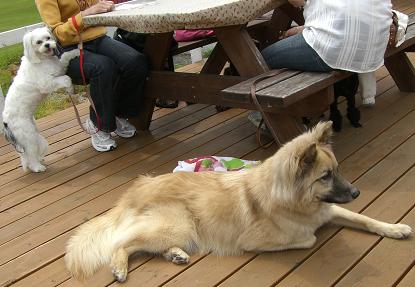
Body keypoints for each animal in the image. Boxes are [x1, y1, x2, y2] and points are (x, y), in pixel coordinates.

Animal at [1, 27, 79, 172]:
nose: (48, 45)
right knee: (30, 154)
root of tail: (6, 123)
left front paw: (76, 52)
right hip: (29, 135)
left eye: (48, 38)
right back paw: (37, 167)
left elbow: (65, 57)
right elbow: (66, 79)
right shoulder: (47, 83)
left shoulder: (59, 69)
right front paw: (70, 89)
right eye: (38, 42)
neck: (42, 59)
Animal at [66, 122, 412, 284]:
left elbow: (366, 219)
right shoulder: (256, 240)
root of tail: (138, 187)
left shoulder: (331, 208)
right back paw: (120, 266)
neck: (298, 202)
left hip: (178, 231)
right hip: (177, 225)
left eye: (337, 170)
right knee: (122, 243)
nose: (356, 193)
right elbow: (308, 239)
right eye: (325, 176)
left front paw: (394, 228)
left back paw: (175, 255)